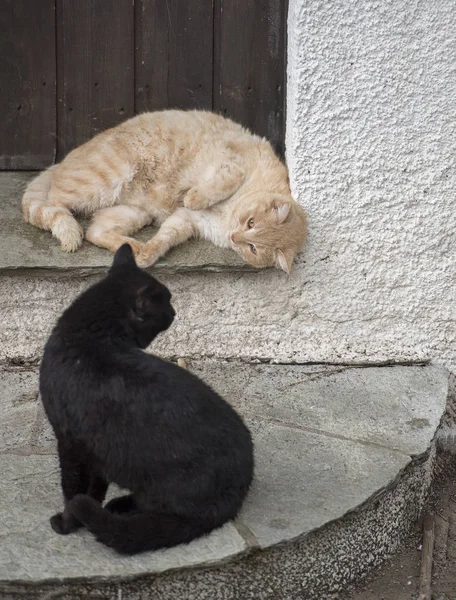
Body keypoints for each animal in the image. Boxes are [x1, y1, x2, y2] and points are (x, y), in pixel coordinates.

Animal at [21, 109, 306, 272]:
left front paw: (148, 254)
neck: (227, 217)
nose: (235, 237)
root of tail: (60, 162)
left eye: (253, 248)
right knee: (51, 205)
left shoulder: (188, 221)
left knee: (95, 231)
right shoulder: (233, 162)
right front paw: (194, 196)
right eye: (251, 222)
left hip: (134, 213)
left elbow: (165, 238)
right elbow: (221, 183)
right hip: (106, 178)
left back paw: (134, 248)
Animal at [38, 243, 253, 552]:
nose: (175, 311)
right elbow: (93, 487)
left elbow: (72, 492)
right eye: (166, 302)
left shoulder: (69, 442)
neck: (91, 336)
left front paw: (66, 525)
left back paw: (119, 508)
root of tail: (237, 493)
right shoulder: (95, 450)